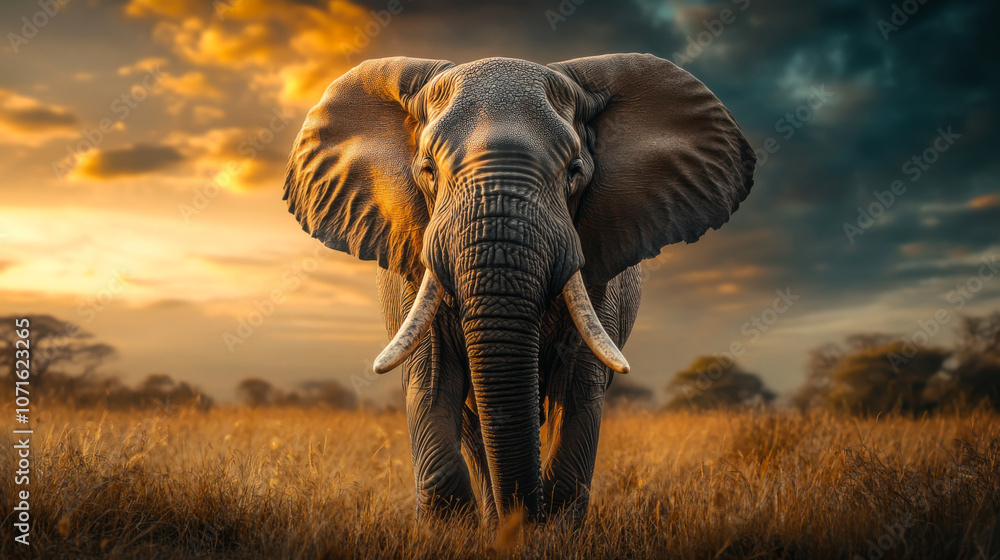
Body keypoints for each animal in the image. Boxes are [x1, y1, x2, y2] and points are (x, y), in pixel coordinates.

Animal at [283, 53, 755, 524]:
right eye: (429, 172)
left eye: (574, 173)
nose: (526, 520)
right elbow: (431, 382)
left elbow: (578, 389)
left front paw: (547, 529)